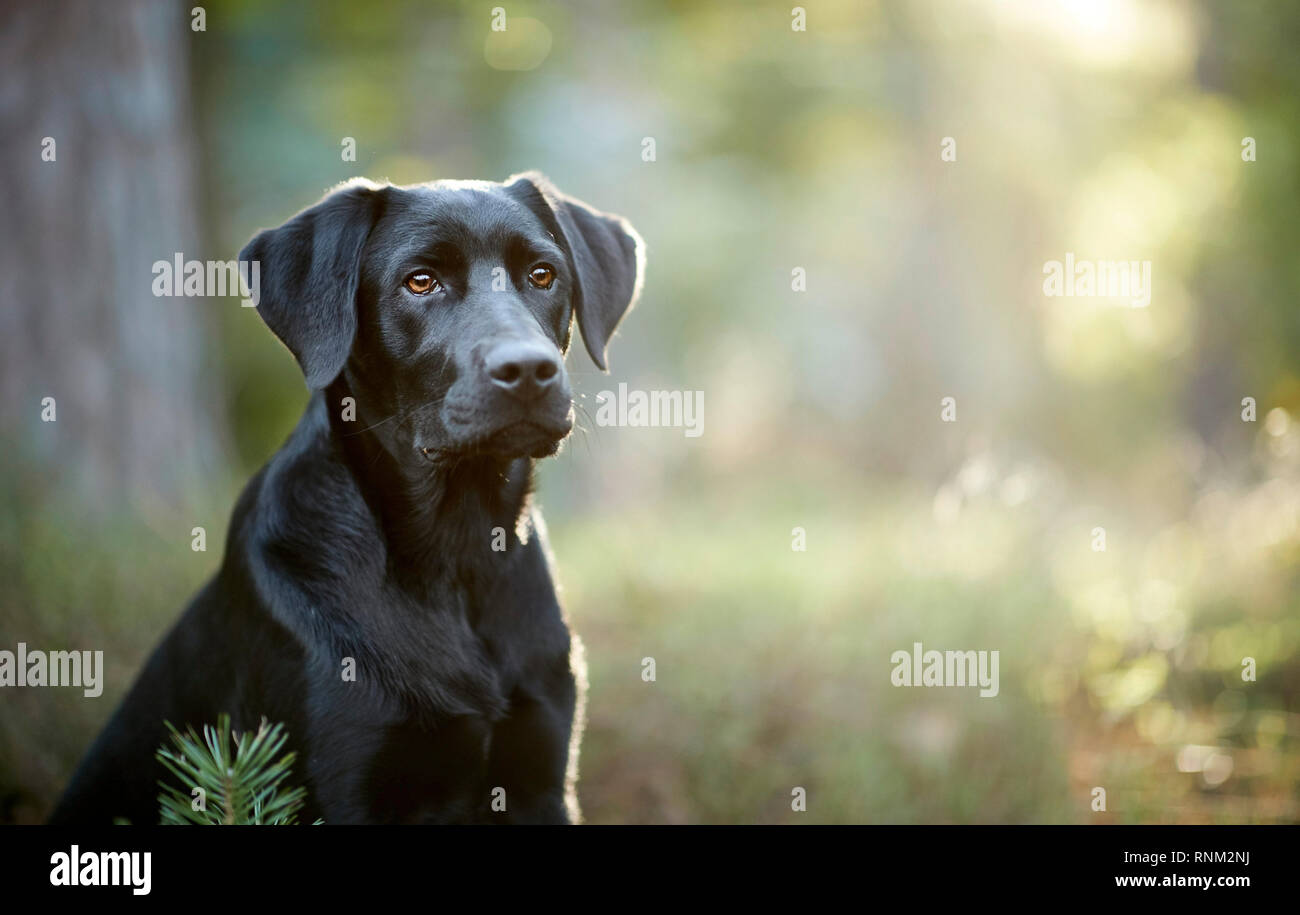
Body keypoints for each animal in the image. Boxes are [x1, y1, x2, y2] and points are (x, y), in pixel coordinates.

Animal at [50, 175, 644, 826]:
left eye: (542, 274)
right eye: (420, 281)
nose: (529, 369)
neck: (454, 558)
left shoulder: (541, 781)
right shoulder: (344, 782)